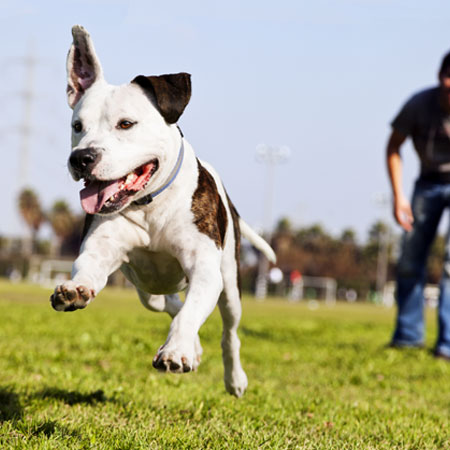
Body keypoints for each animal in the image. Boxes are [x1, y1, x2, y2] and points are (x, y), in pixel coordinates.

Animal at [49, 25, 274, 398]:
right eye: (77, 126)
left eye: (126, 124)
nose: (81, 158)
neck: (149, 205)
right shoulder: (101, 249)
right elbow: (89, 268)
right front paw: (75, 290)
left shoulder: (204, 269)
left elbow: (192, 312)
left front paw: (176, 351)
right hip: (147, 289)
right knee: (168, 304)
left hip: (230, 284)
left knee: (228, 331)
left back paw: (233, 378)